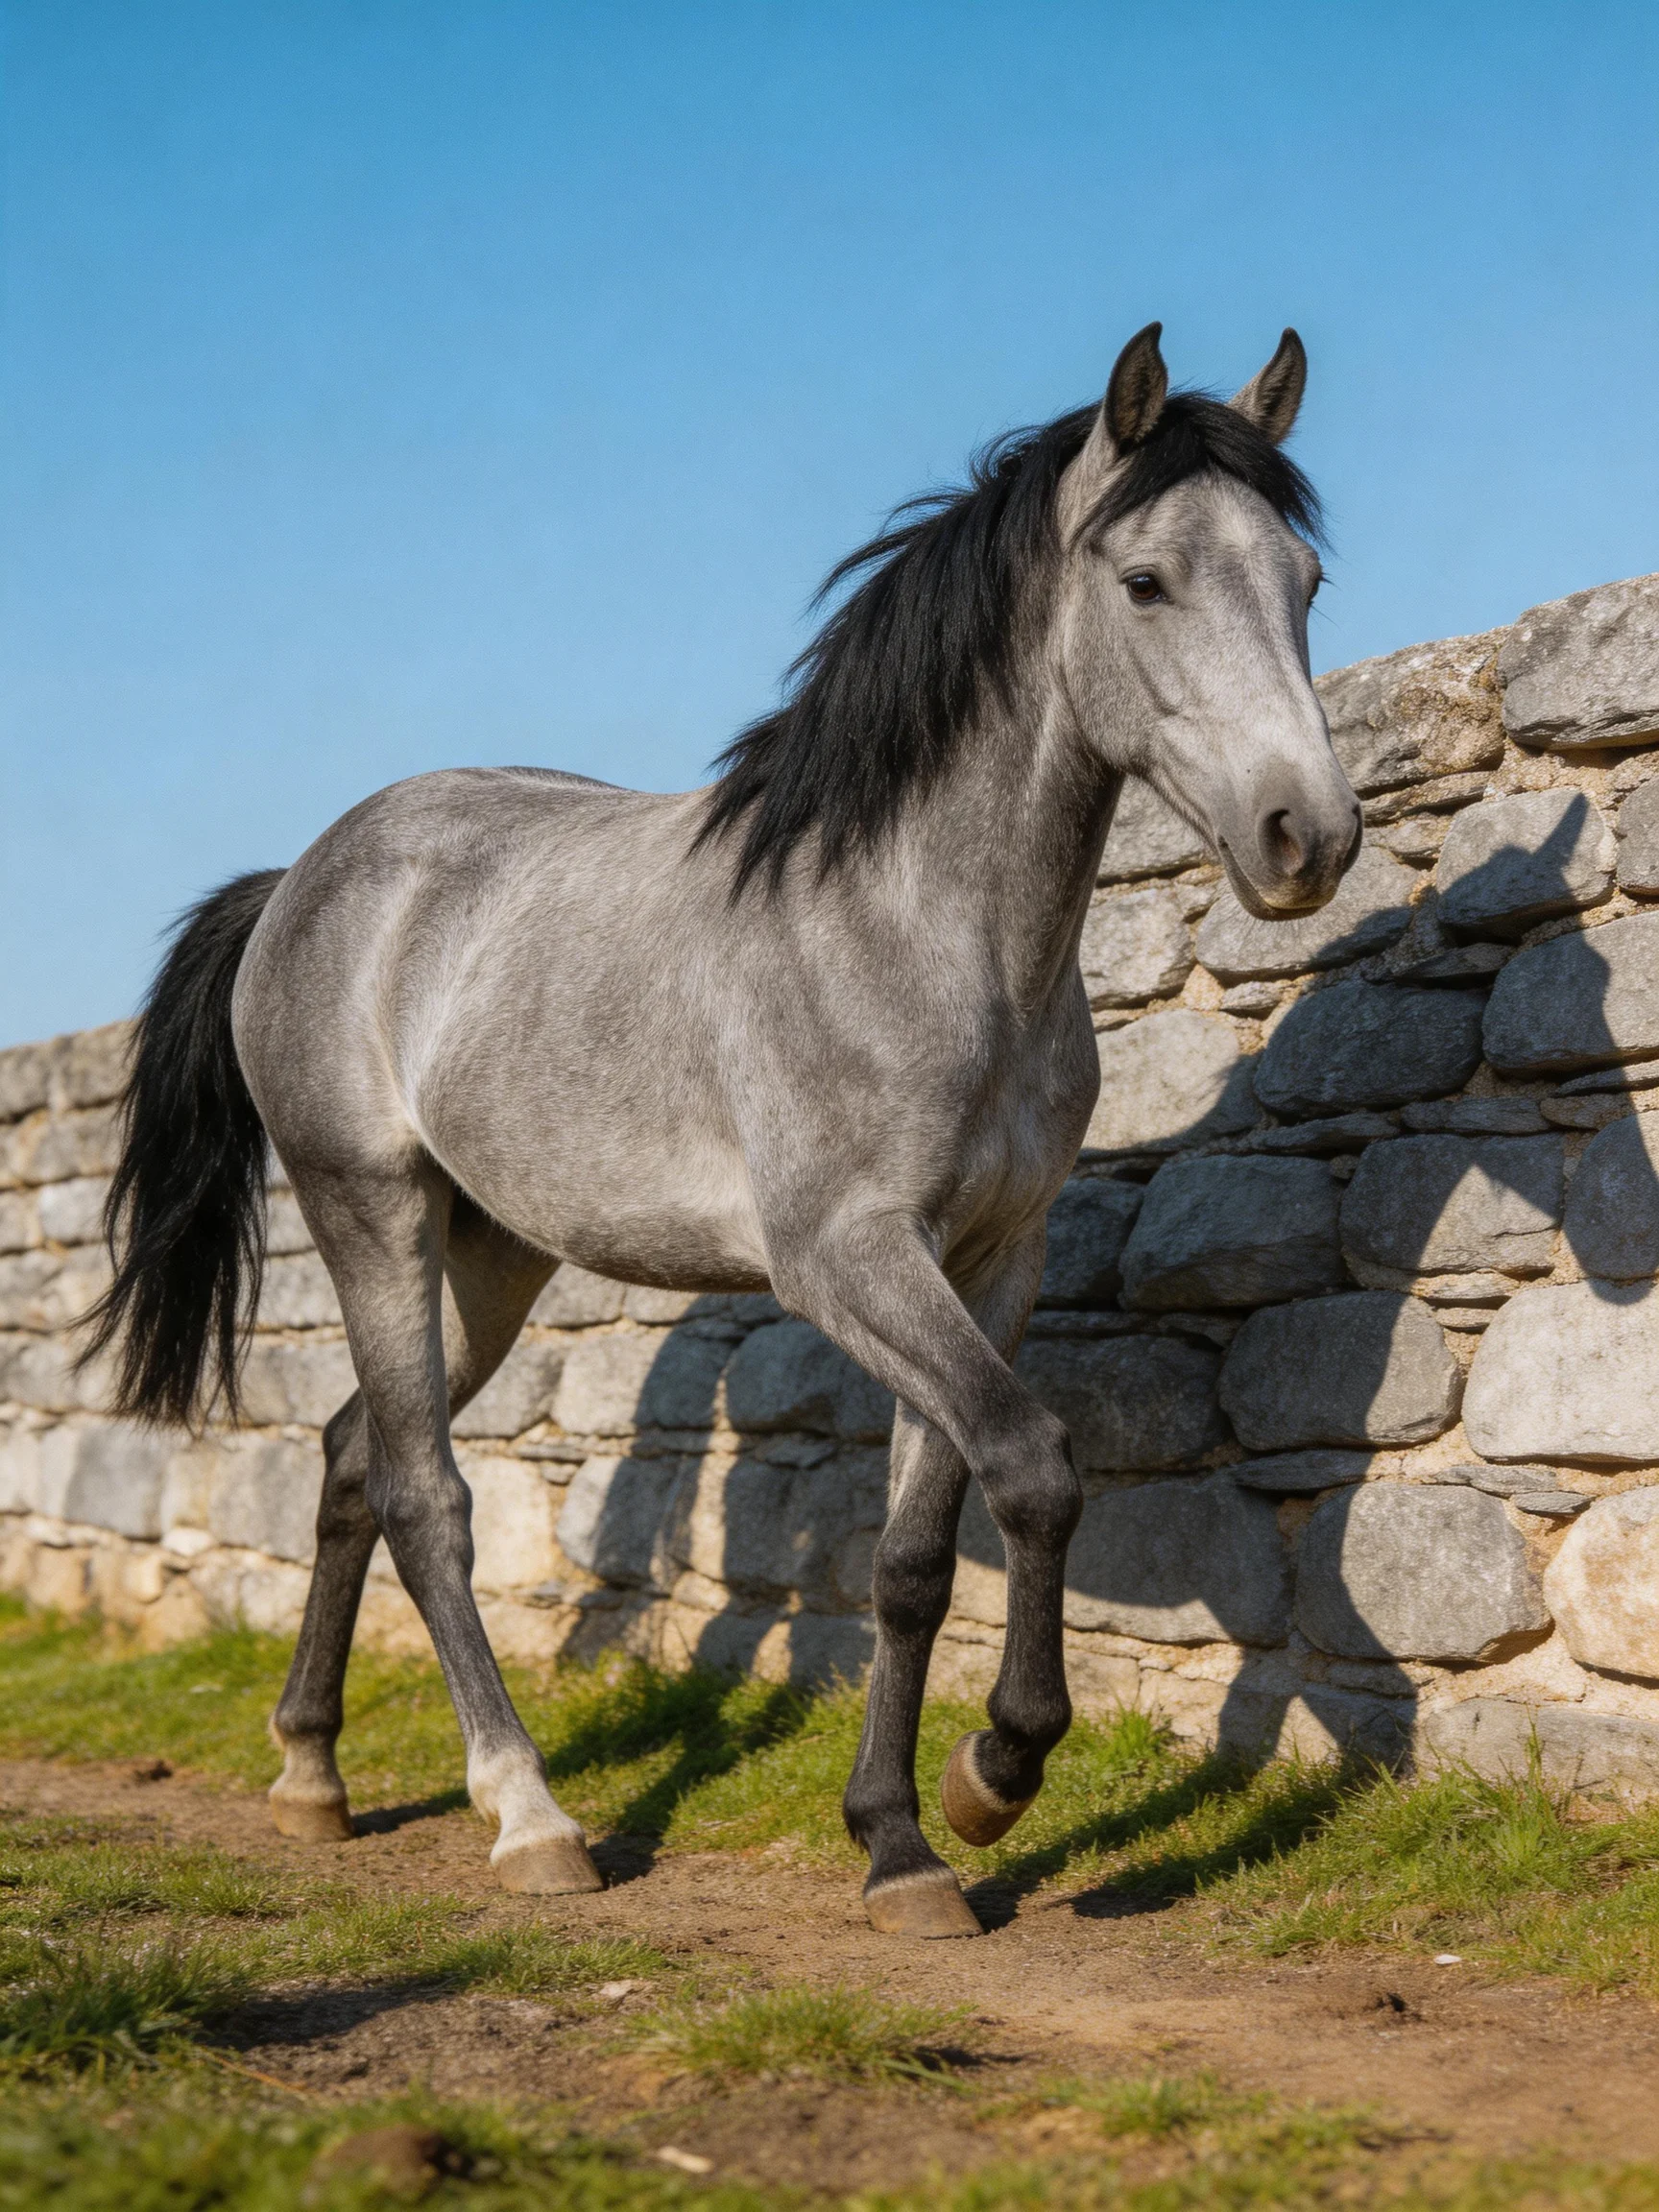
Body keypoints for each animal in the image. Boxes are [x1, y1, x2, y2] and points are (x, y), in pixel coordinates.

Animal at [86, 323, 1360, 1939]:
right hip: (367, 1211)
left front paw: (901, 1843)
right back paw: (530, 1819)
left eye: (1303, 582)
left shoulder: (987, 1264)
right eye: (1146, 581)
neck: (915, 930)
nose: (1308, 839)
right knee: (429, 1494)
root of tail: (305, 877)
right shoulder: (848, 1260)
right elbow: (1034, 1466)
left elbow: (916, 1554)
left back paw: (311, 1774)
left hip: (490, 1255)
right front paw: (995, 1775)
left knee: (352, 1454)